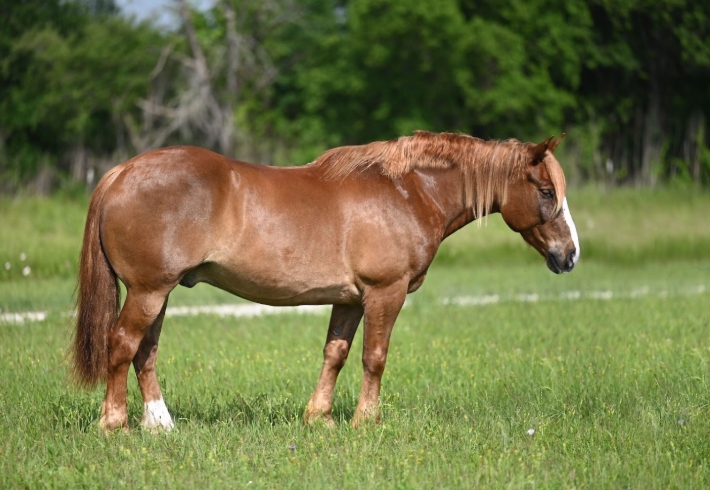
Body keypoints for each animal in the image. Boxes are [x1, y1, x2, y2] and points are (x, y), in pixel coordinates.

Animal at [72, 131, 580, 432]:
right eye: (545, 191)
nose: (570, 255)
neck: (407, 192)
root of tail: (121, 172)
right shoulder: (385, 293)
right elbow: (375, 357)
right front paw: (366, 421)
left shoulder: (350, 299)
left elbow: (335, 354)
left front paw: (319, 419)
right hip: (148, 291)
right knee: (122, 344)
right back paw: (114, 424)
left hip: (159, 293)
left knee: (145, 352)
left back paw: (160, 425)